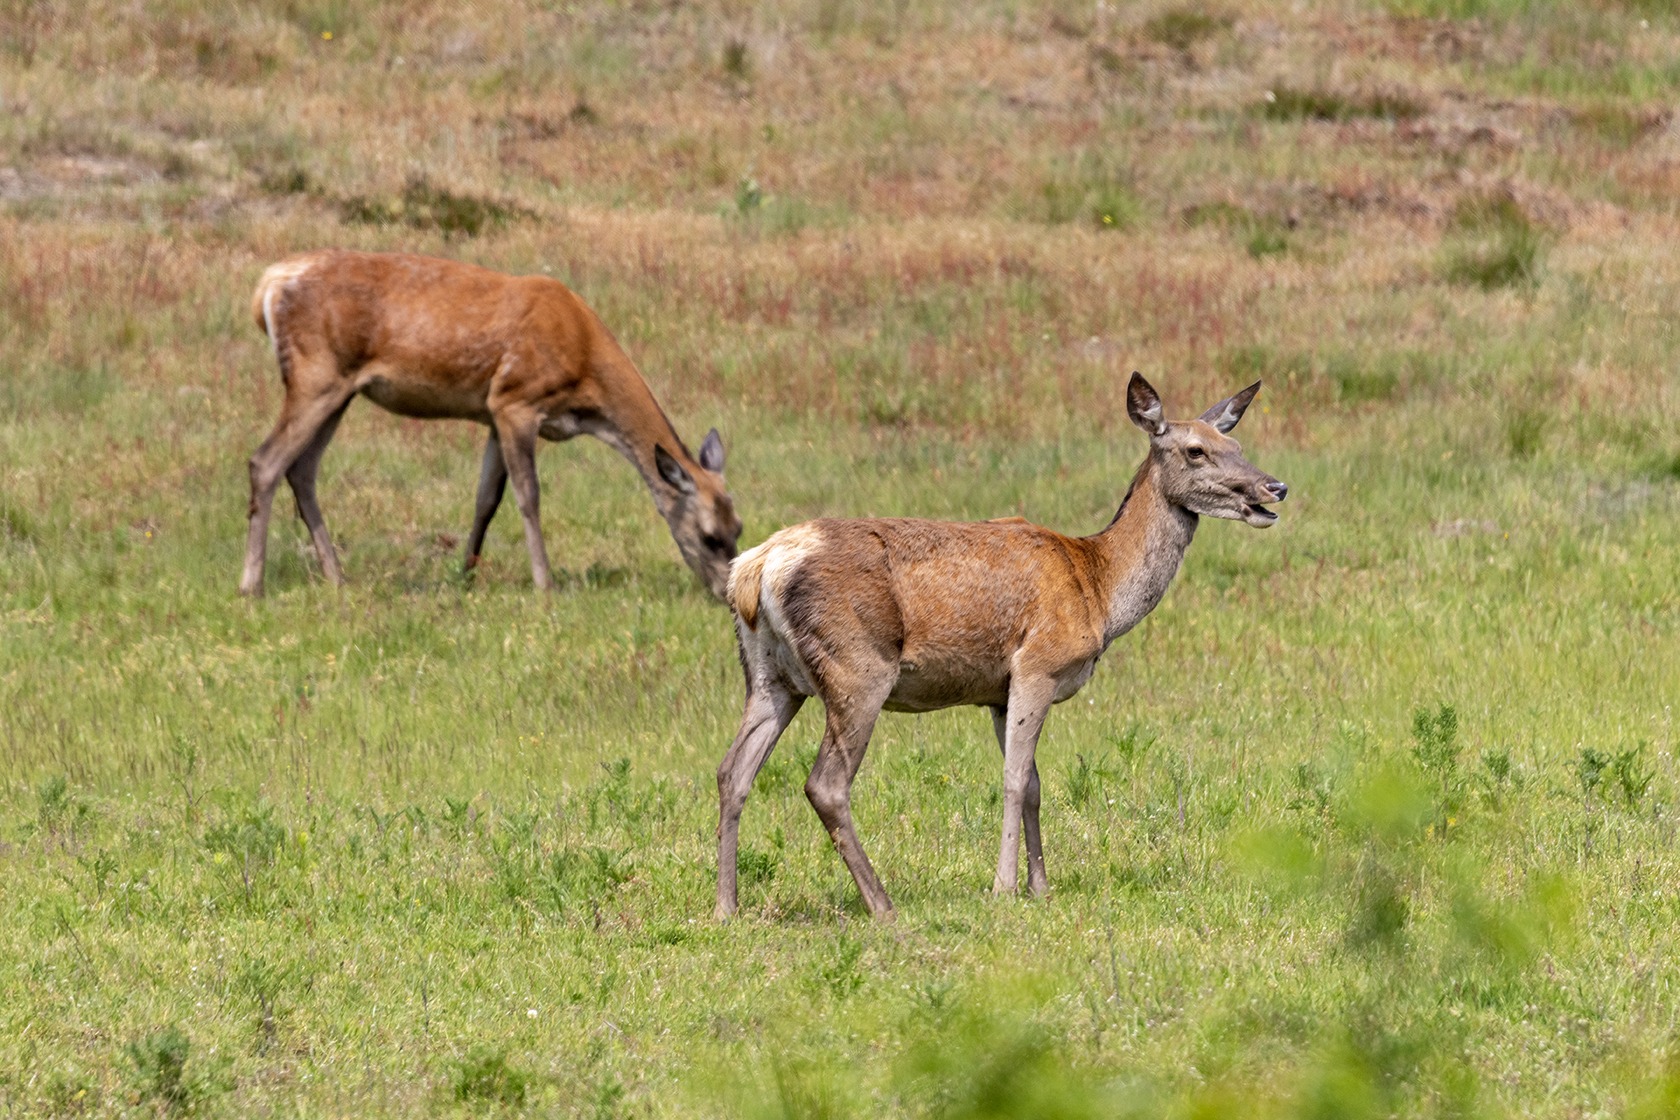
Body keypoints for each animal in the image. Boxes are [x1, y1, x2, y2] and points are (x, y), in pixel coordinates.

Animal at [240, 250, 739, 601]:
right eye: (710, 537)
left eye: (739, 529)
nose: (727, 595)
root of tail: (266, 286)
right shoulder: (516, 399)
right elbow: (528, 496)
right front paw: (545, 584)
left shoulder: (492, 414)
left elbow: (486, 499)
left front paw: (466, 573)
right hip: (316, 372)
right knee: (266, 461)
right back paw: (252, 585)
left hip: (339, 389)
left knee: (302, 469)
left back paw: (336, 577)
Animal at [719, 376, 1283, 920]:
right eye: (1195, 451)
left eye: (1235, 443)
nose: (1274, 487)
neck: (1098, 590)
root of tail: (755, 568)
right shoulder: (1038, 664)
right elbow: (1014, 779)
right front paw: (1004, 888)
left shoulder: (997, 692)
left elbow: (1032, 783)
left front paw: (1042, 888)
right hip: (856, 667)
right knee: (825, 784)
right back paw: (882, 905)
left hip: (770, 675)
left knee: (733, 771)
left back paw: (728, 906)